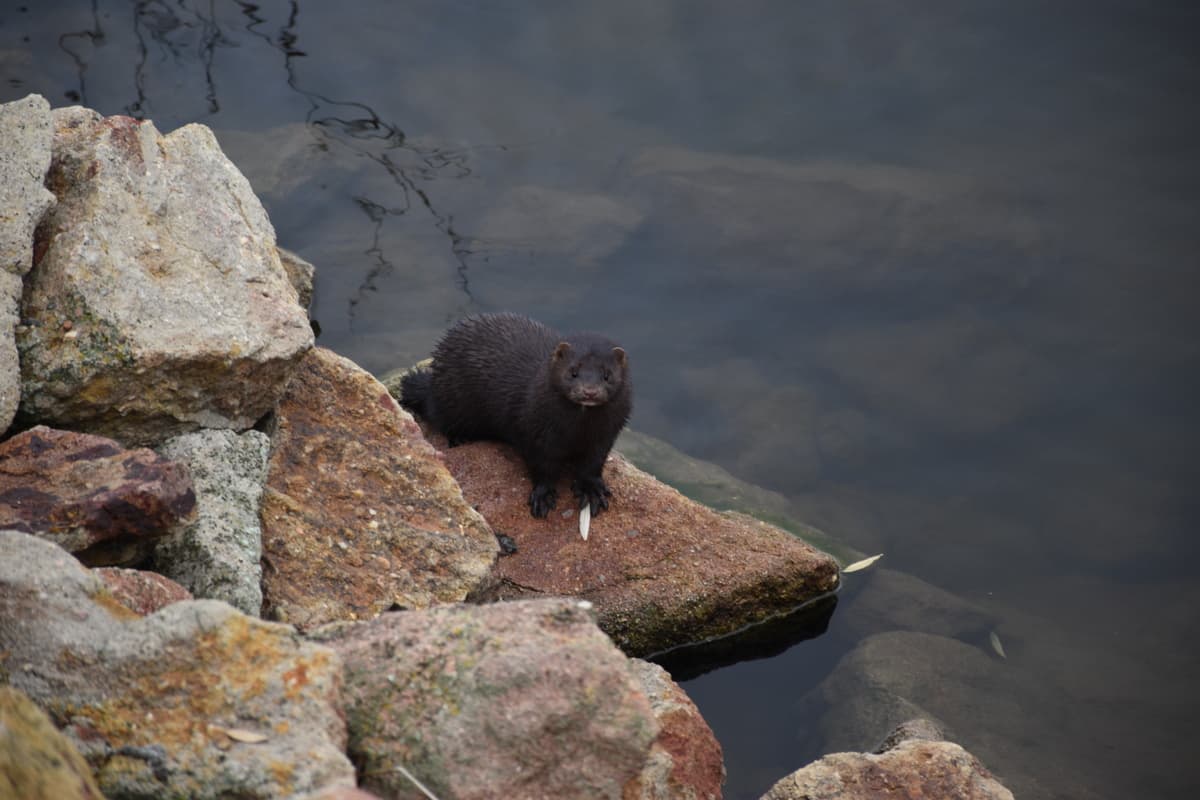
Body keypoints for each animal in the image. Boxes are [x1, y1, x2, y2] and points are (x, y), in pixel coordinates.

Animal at [400, 313, 632, 519]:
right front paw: (543, 496)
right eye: (573, 372)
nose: (589, 391)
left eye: (607, 375)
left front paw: (591, 490)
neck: (578, 429)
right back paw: (460, 437)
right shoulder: (534, 428)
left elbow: (593, 463)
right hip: (452, 400)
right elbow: (542, 465)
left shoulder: (606, 433)